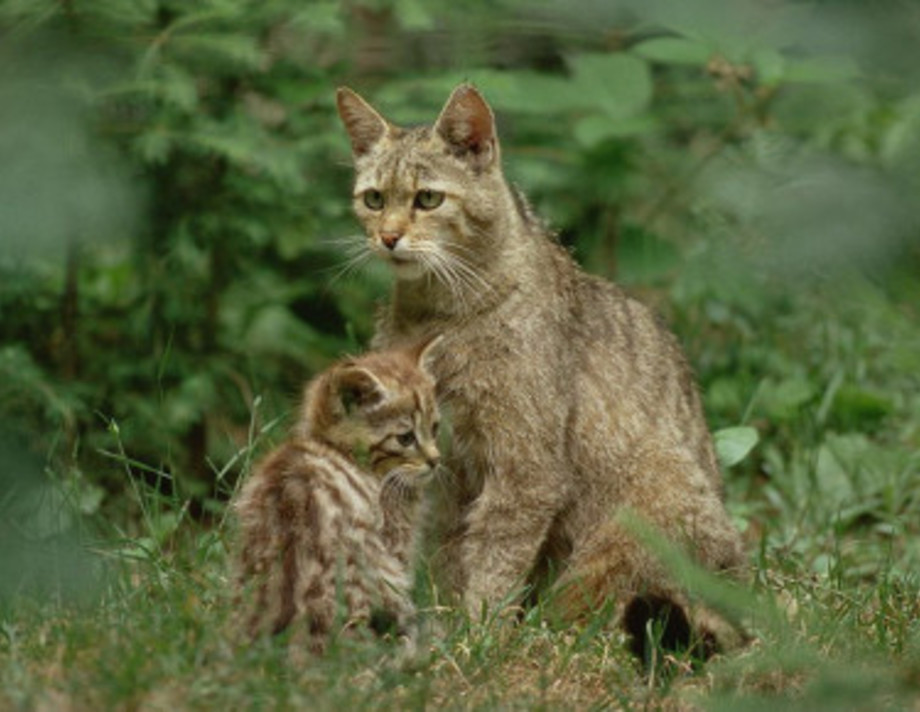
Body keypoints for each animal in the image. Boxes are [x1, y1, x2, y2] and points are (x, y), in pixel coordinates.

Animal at [338, 85, 748, 656]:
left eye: (427, 199)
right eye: (374, 199)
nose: (389, 237)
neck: (436, 314)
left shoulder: (524, 469)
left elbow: (494, 558)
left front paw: (476, 636)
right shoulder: (443, 470)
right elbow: (445, 556)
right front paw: (440, 620)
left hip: (642, 511)